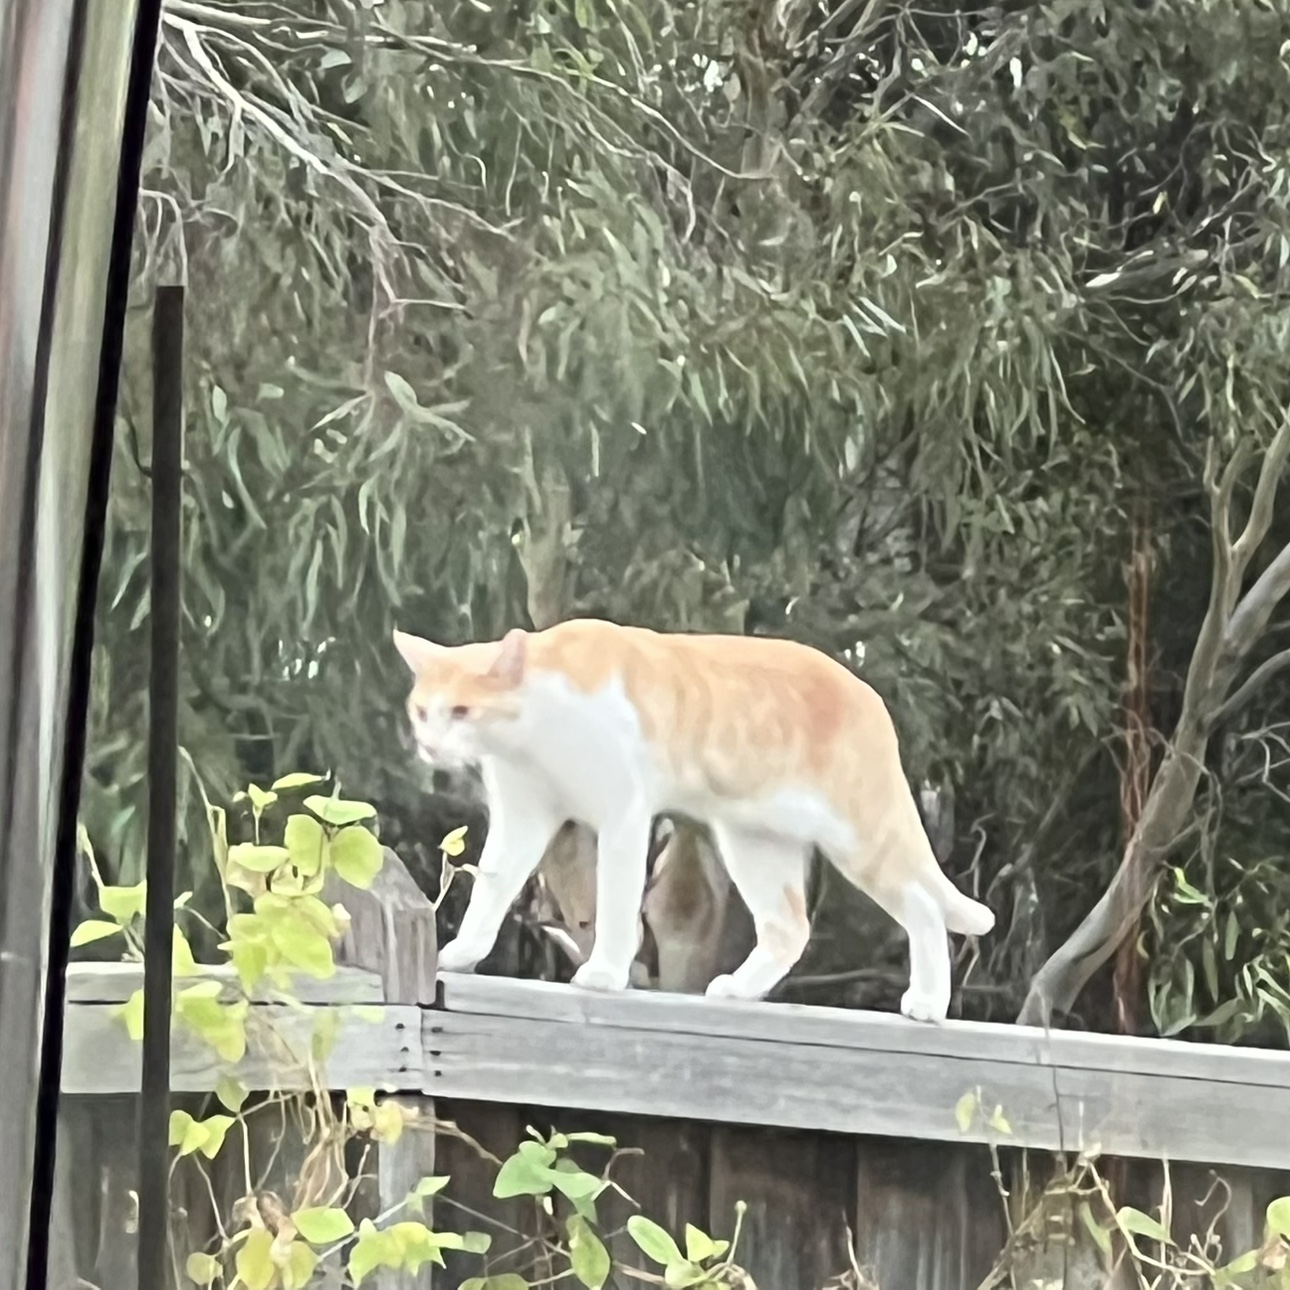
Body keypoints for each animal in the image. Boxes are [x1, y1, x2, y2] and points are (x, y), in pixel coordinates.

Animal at [393, 618, 994, 1022]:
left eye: (462, 712)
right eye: (422, 711)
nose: (430, 746)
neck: (533, 731)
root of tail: (868, 693)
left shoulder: (623, 813)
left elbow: (616, 903)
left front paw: (606, 974)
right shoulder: (523, 817)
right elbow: (490, 891)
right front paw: (463, 955)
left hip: (858, 836)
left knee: (922, 906)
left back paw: (928, 1003)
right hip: (754, 842)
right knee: (789, 926)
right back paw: (743, 989)